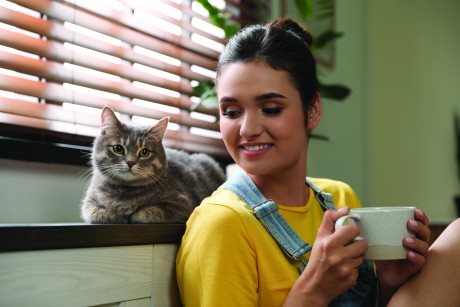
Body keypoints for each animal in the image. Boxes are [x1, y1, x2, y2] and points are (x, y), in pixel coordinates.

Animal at [82, 107, 226, 225]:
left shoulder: (183, 204)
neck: (125, 191)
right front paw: (112, 214)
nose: (130, 162)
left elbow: (150, 211)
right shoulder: (89, 203)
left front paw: (133, 215)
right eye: (118, 148)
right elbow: (97, 212)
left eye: (144, 152)